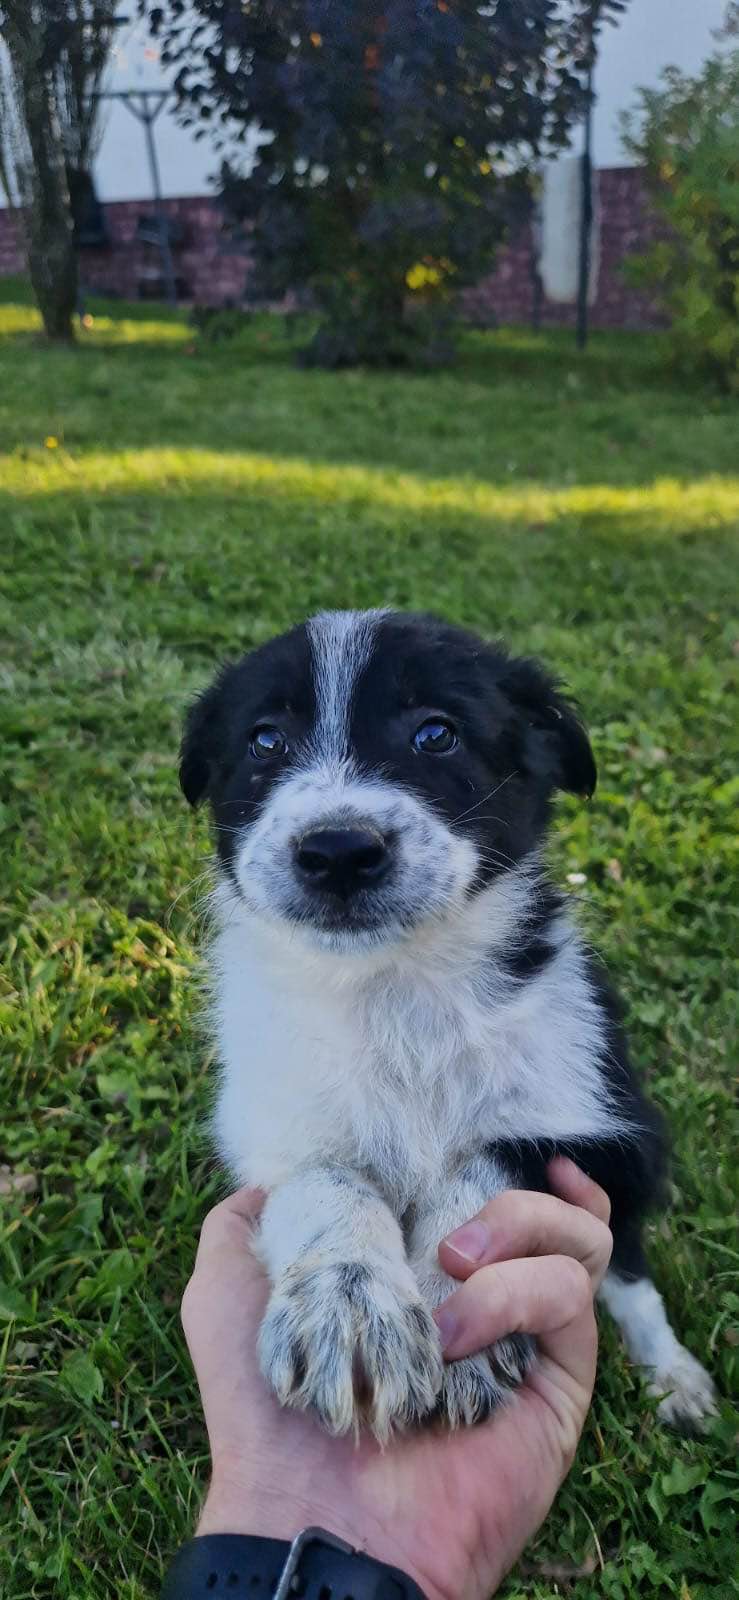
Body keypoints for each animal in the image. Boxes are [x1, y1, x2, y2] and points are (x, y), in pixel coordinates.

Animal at [179, 608, 716, 1440]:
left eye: (436, 733)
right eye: (264, 741)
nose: (337, 852)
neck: (393, 985)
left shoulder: (593, 1119)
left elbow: (487, 1169)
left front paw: (460, 1318)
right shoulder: (277, 1127)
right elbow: (327, 1181)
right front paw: (348, 1309)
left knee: (629, 1273)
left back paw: (673, 1377)